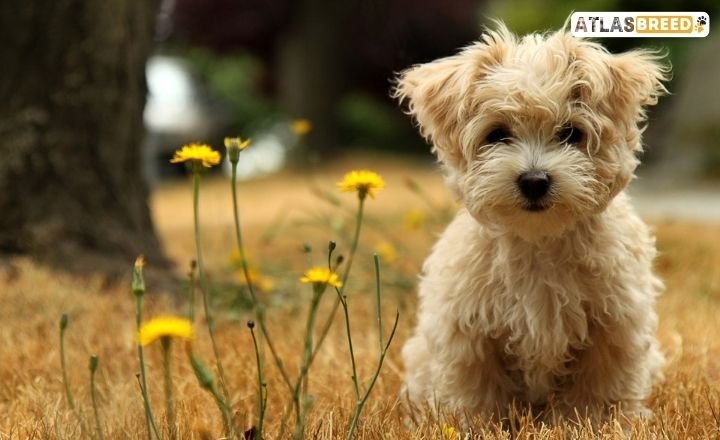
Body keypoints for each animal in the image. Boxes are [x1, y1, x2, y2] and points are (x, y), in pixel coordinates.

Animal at [394, 23, 668, 422]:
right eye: (496, 134)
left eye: (571, 133)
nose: (534, 180)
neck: (539, 241)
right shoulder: (467, 329)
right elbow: (476, 388)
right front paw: (478, 423)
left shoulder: (615, 323)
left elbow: (600, 385)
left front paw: (595, 421)